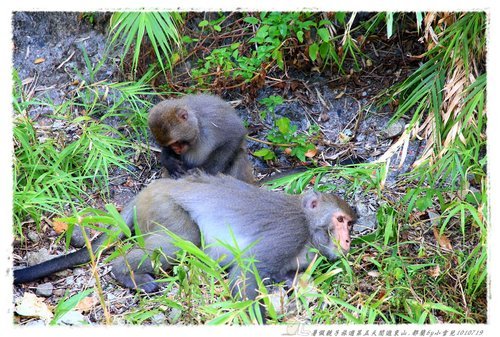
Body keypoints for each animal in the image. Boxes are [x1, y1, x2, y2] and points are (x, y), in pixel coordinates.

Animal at [13, 173, 358, 316]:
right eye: (340, 220)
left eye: (350, 223)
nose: (348, 239)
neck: (308, 228)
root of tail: (148, 190)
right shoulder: (287, 236)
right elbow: (243, 279)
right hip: (164, 208)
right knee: (186, 241)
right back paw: (126, 273)